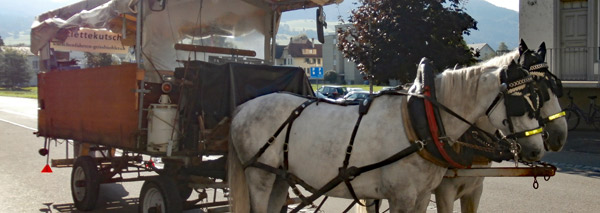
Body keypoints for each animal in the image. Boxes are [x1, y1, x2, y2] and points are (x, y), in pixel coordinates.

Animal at [229, 60, 544, 212]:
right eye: (522, 102)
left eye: (540, 96)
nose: (538, 150)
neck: (420, 122)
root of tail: (242, 107)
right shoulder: (401, 197)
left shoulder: (421, 196)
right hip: (259, 175)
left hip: (279, 177)